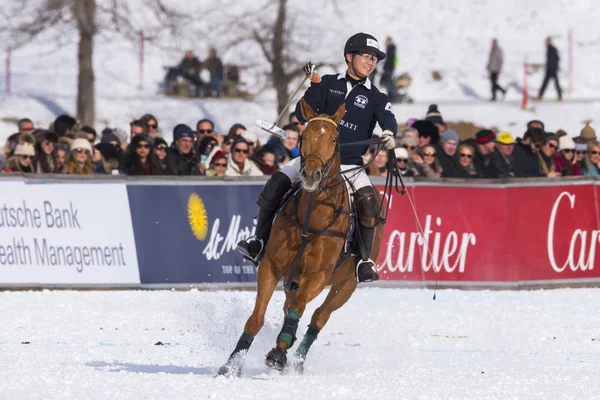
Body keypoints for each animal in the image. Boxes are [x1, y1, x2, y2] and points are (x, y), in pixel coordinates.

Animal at [218, 98, 382, 376]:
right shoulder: (271, 266)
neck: (311, 218)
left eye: (335, 138)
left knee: (318, 316)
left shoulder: (318, 276)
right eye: (304, 135)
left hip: (347, 283)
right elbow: (256, 318)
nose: (311, 174)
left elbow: (299, 309)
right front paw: (231, 365)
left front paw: (278, 353)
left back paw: (296, 360)